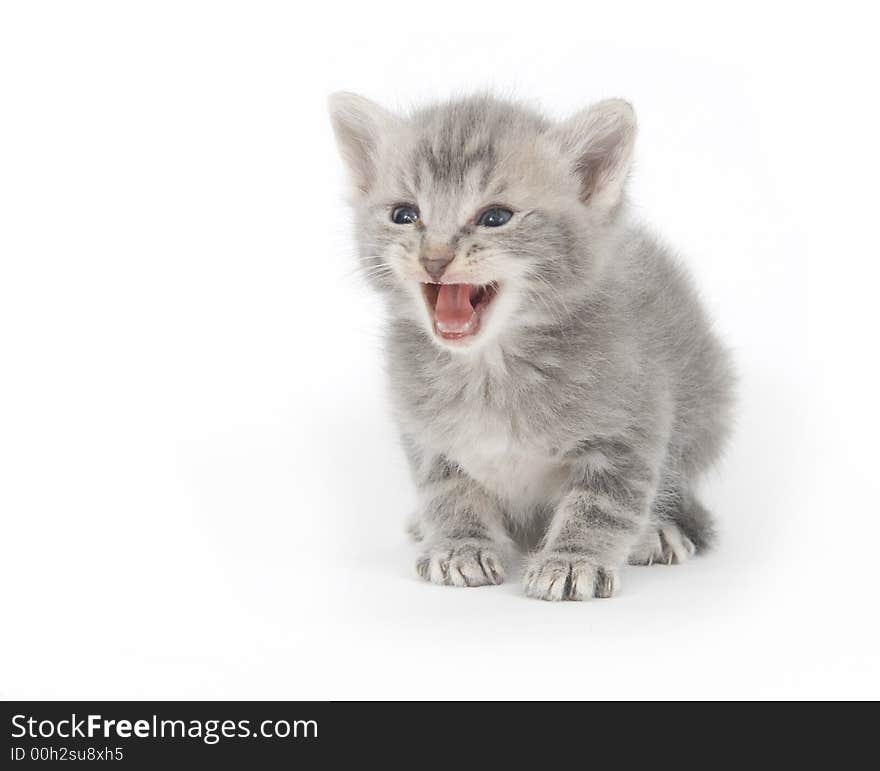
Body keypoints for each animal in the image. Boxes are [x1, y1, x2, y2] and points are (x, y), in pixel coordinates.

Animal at [326, 93, 732, 604]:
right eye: (404, 214)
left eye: (495, 217)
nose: (434, 258)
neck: (490, 368)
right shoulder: (426, 433)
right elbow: (448, 490)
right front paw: (459, 546)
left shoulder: (630, 426)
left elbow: (604, 502)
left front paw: (574, 559)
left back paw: (656, 531)